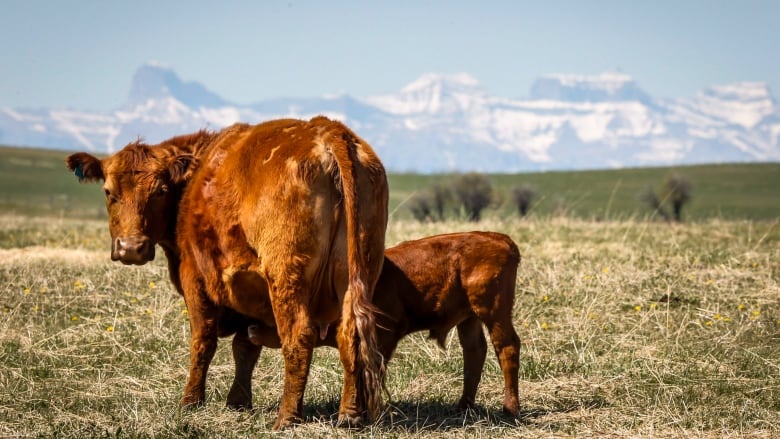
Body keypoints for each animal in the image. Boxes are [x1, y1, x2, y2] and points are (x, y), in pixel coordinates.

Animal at [65, 117, 388, 430]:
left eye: (160, 191)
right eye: (109, 192)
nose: (131, 248)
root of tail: (328, 130)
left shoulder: (194, 275)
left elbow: (203, 341)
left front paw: (191, 401)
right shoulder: (249, 292)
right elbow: (244, 347)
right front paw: (238, 401)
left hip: (286, 276)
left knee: (298, 336)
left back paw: (286, 418)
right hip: (357, 274)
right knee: (349, 336)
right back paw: (349, 415)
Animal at [247, 232, 520, 418]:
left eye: (273, 313)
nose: (250, 327)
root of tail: (499, 238)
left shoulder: (384, 336)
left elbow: (373, 372)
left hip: (493, 311)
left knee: (507, 348)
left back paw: (510, 409)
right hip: (469, 318)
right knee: (475, 352)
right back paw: (464, 407)